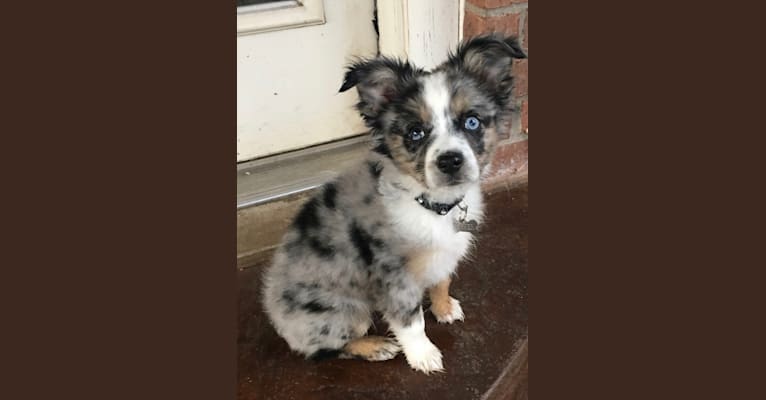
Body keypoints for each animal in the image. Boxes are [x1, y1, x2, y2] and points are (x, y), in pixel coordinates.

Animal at [264, 35, 528, 376]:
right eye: (415, 132)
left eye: (472, 121)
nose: (450, 161)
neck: (432, 205)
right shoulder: (393, 275)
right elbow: (411, 321)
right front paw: (423, 356)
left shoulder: (444, 254)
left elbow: (442, 280)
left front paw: (444, 308)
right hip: (344, 311)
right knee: (322, 349)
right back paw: (376, 346)